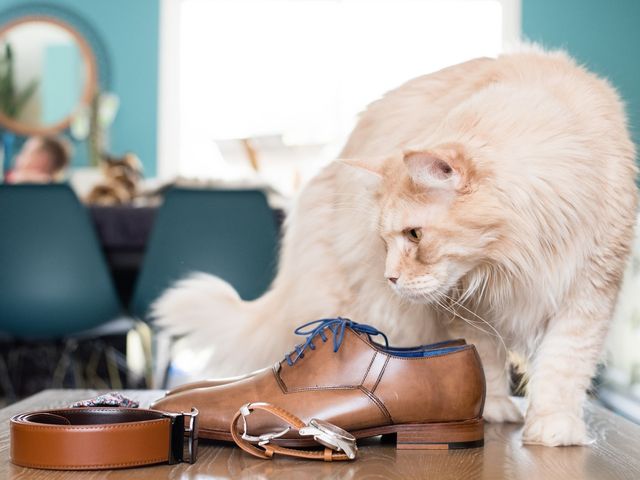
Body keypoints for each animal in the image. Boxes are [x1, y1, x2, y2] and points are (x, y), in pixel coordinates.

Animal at [154, 48, 636, 446]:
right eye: (386, 240)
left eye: (415, 236)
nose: (390, 276)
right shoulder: (470, 308)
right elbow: (489, 360)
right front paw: (496, 409)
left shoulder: (591, 290)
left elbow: (562, 366)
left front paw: (554, 427)